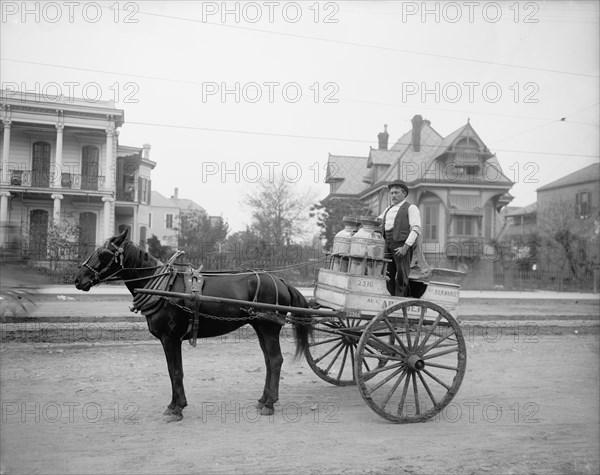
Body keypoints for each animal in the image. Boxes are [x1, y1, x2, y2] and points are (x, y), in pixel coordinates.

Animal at [75, 231, 314, 424]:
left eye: (104, 253)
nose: (78, 279)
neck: (164, 288)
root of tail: (280, 281)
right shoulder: (169, 340)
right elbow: (172, 371)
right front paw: (174, 405)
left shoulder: (170, 338)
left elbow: (175, 371)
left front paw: (177, 408)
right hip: (260, 327)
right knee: (268, 361)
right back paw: (263, 399)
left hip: (268, 328)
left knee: (275, 360)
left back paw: (270, 403)